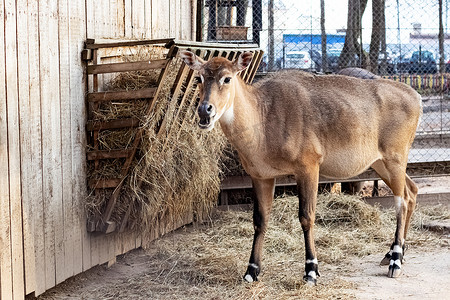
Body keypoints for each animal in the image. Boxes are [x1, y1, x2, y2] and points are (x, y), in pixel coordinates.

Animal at [178, 51, 422, 284]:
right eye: (199, 77)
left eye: (227, 78)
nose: (205, 110)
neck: (263, 118)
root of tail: (416, 97)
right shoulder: (260, 175)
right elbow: (260, 220)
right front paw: (251, 271)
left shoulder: (308, 167)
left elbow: (307, 216)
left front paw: (311, 271)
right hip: (381, 163)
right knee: (411, 191)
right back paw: (392, 255)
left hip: (395, 158)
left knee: (401, 201)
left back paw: (396, 261)